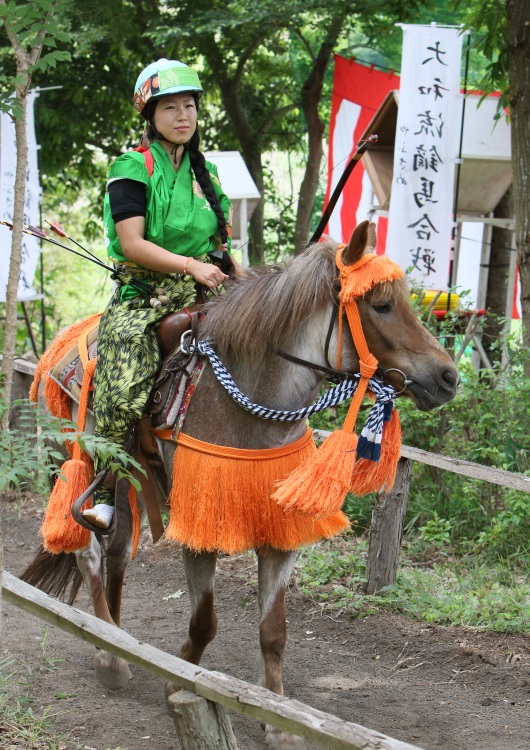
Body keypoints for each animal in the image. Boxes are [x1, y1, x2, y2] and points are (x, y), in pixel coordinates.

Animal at [21, 223, 458, 750]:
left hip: (131, 479)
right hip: (72, 455)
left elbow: (273, 631)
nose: (448, 377)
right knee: (86, 549)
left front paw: (279, 720)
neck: (251, 406)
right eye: (381, 305)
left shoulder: (281, 530)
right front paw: (181, 679)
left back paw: (115, 638)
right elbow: (205, 622)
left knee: (118, 553)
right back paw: (109, 657)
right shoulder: (201, 528)